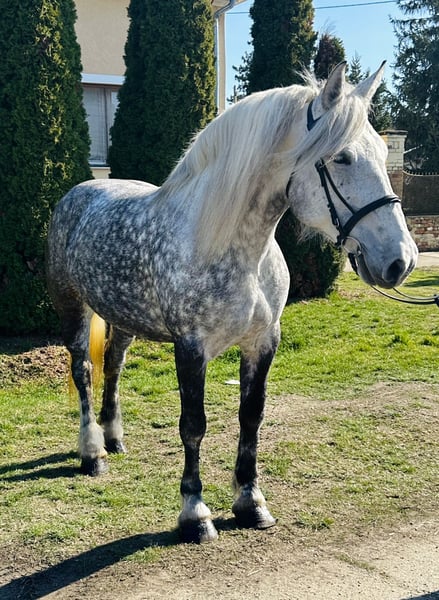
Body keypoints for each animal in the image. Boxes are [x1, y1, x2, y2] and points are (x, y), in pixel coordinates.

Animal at [46, 62, 418, 543]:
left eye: (382, 150)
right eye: (342, 158)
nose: (401, 260)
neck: (233, 247)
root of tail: (77, 194)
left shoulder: (263, 342)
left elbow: (250, 417)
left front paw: (251, 503)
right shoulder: (191, 348)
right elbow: (194, 425)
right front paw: (195, 513)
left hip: (123, 317)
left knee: (113, 365)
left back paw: (114, 438)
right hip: (73, 307)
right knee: (84, 372)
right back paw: (92, 453)